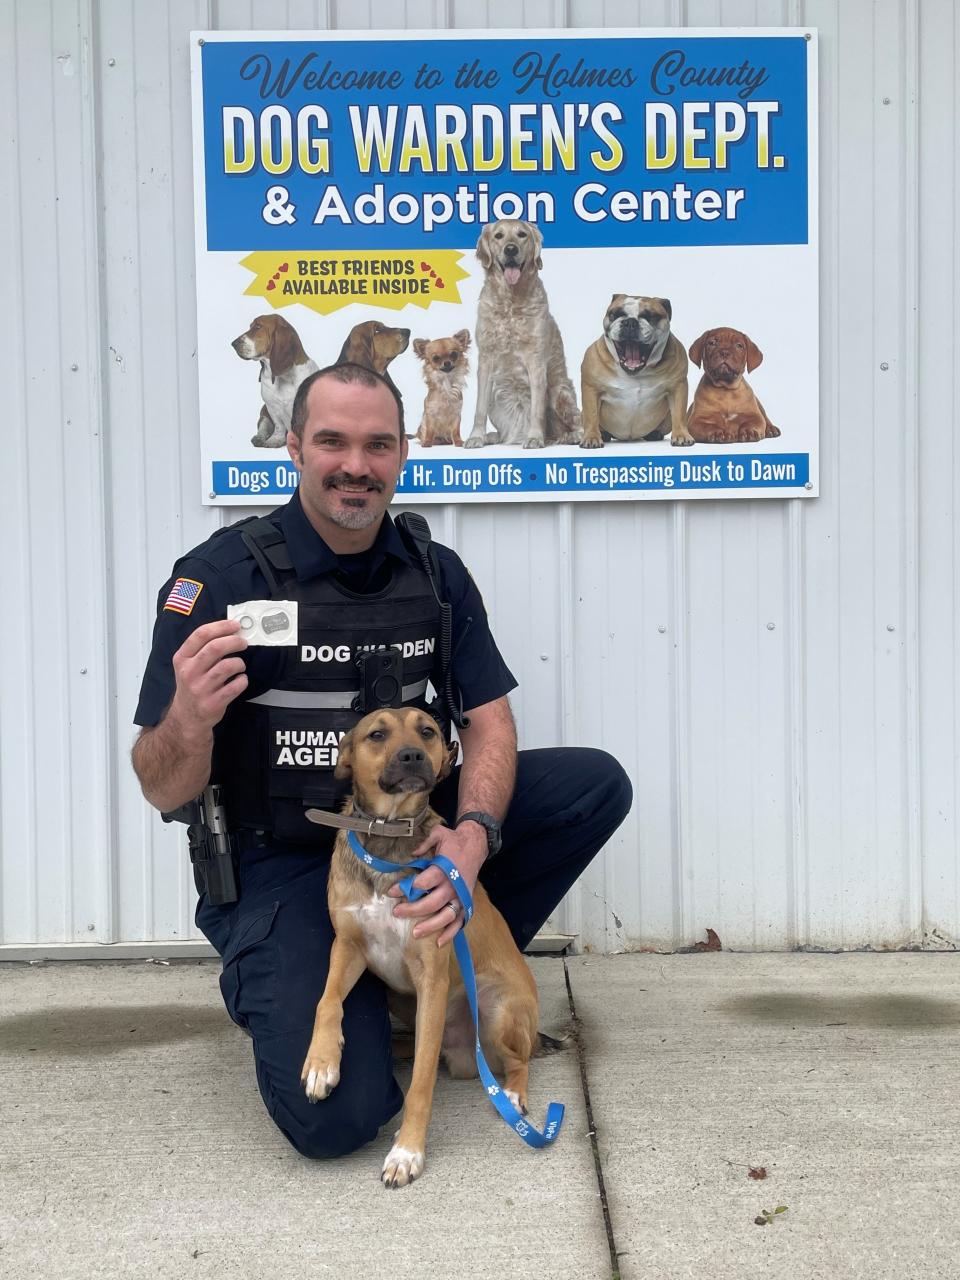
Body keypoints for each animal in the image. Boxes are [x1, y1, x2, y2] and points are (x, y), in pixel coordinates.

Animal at [300, 706, 542, 1182]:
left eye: (427, 730)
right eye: (376, 734)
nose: (412, 755)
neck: (388, 835)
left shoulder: (431, 975)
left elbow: (422, 1083)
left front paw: (407, 1150)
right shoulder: (348, 948)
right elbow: (326, 1001)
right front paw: (322, 1061)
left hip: (499, 1009)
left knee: (519, 1061)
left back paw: (513, 1095)